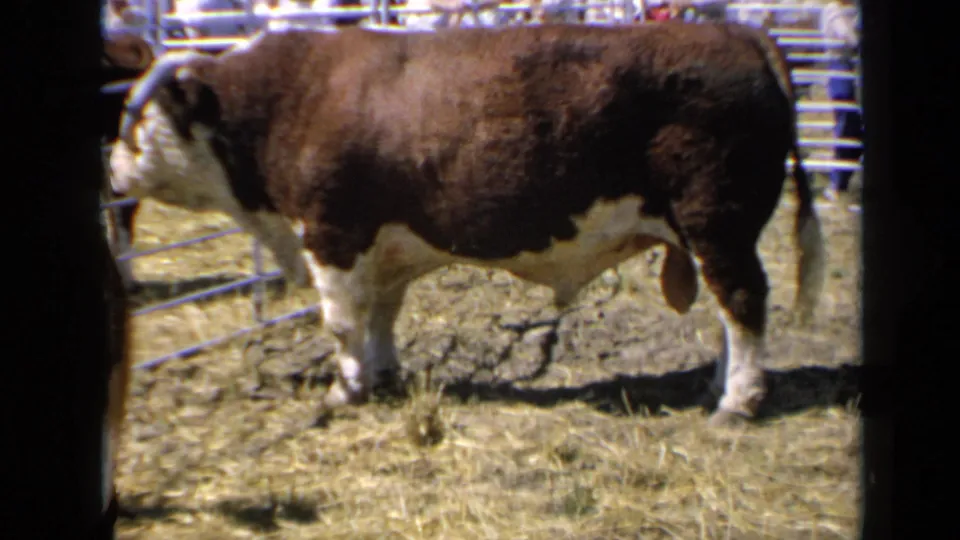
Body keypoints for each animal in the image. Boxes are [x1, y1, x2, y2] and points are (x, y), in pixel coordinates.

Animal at [107, 23, 826, 427]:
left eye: (135, 121)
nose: (110, 173)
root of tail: (740, 34)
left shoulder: (333, 232)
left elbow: (341, 321)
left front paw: (345, 391)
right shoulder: (384, 247)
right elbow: (381, 315)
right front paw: (383, 374)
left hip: (717, 222)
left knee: (743, 302)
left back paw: (738, 401)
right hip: (711, 233)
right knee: (730, 312)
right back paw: (718, 384)